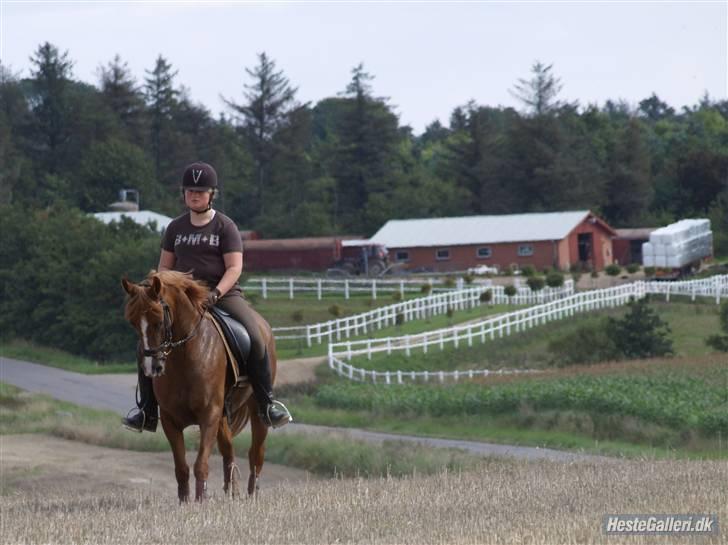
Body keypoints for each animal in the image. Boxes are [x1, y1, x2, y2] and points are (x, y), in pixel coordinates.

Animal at [122, 270, 276, 500]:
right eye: (132, 322)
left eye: (158, 320)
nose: (152, 368)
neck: (185, 356)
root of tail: (263, 325)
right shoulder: (170, 420)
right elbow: (182, 468)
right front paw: (185, 502)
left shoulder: (209, 415)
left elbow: (200, 465)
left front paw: (201, 500)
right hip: (223, 416)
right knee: (229, 451)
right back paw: (232, 493)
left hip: (256, 408)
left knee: (255, 455)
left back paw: (252, 496)